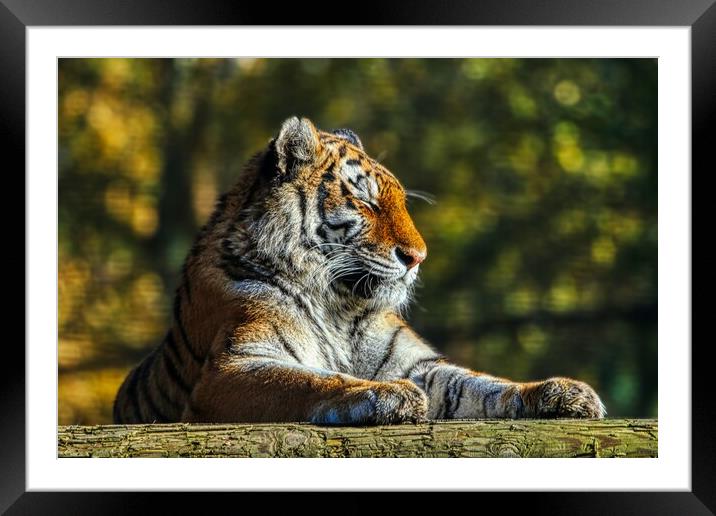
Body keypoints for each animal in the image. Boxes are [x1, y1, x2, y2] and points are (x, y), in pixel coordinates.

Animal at [114, 116, 608, 424]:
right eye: (366, 201)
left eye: (400, 201)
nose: (419, 256)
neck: (340, 305)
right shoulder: (233, 368)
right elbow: (308, 381)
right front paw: (387, 395)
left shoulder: (417, 364)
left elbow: (482, 386)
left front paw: (563, 392)